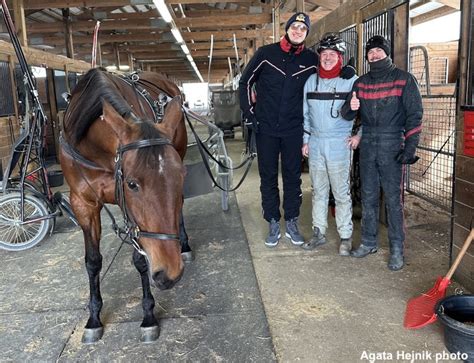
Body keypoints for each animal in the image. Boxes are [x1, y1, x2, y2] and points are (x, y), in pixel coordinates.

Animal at [59, 68, 191, 344]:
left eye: (181, 176)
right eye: (132, 184)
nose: (170, 273)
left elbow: (140, 259)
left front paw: (148, 316)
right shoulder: (82, 203)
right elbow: (92, 261)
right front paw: (94, 319)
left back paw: (184, 244)